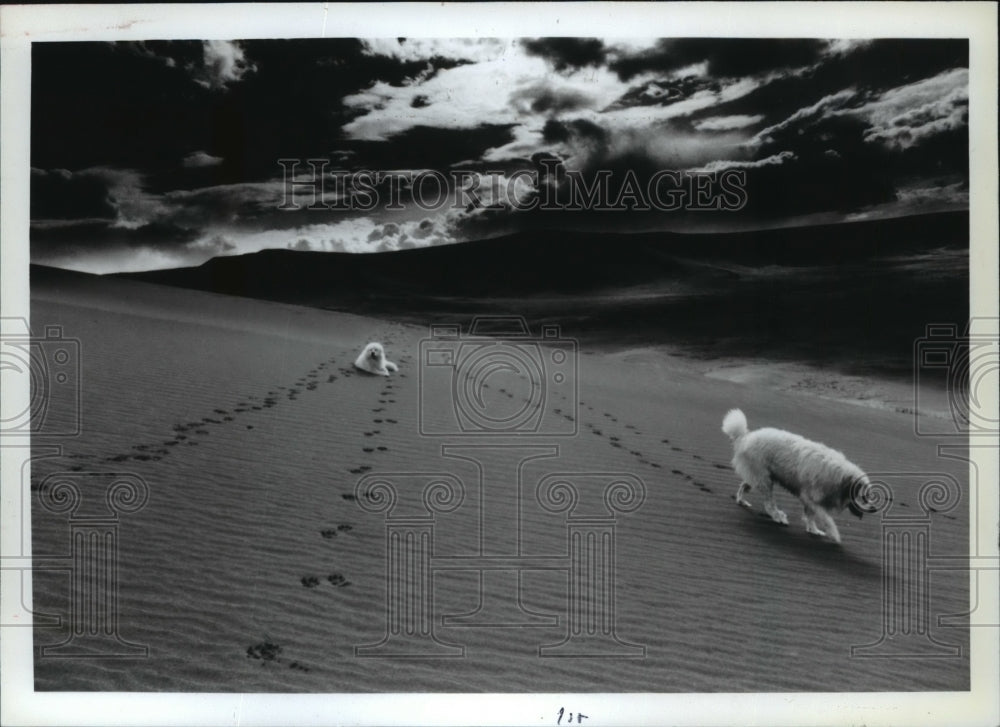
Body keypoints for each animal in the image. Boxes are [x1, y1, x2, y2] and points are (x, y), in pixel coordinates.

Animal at [724, 406, 872, 544]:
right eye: (864, 497)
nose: (874, 508)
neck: (840, 477)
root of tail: (745, 437)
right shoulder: (809, 498)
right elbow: (825, 518)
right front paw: (833, 534)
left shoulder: (812, 501)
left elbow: (811, 516)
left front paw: (814, 530)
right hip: (764, 480)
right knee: (769, 504)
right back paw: (778, 517)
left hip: (758, 477)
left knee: (744, 486)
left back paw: (741, 500)